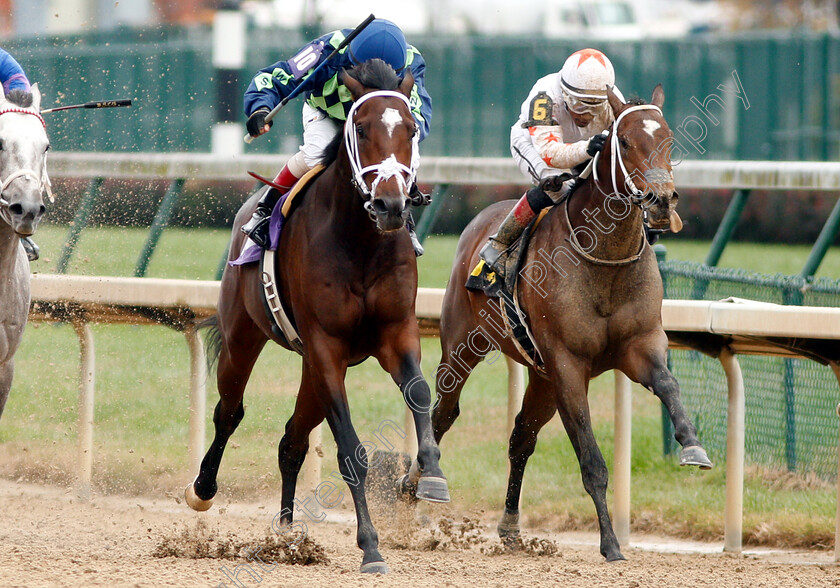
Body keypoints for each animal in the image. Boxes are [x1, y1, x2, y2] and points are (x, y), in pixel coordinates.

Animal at [183, 60, 446, 576]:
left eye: (410, 128)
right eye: (361, 129)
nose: (390, 205)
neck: (360, 242)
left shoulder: (396, 333)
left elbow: (421, 392)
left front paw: (431, 474)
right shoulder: (326, 345)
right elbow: (351, 451)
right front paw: (371, 547)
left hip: (311, 366)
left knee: (292, 440)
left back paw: (286, 534)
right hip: (246, 336)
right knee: (229, 412)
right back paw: (203, 489)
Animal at [426, 86, 708, 560]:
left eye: (668, 138)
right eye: (624, 141)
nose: (661, 200)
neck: (605, 260)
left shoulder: (640, 346)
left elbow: (669, 385)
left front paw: (693, 447)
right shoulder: (569, 366)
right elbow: (591, 460)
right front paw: (610, 544)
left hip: (541, 378)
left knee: (521, 438)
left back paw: (510, 526)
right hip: (464, 345)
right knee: (441, 414)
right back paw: (419, 486)